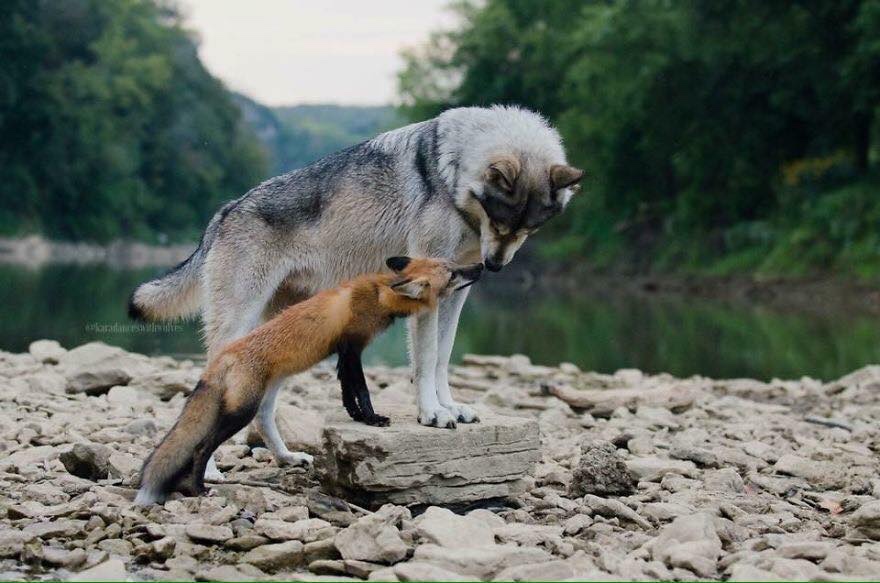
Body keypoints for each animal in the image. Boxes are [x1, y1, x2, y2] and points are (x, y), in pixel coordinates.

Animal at [129, 105, 583, 479]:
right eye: (498, 220)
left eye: (528, 229)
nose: (494, 266)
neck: (451, 172)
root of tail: (224, 211)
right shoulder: (429, 291)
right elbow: (426, 361)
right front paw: (432, 414)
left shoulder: (456, 292)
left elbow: (442, 358)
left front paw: (449, 406)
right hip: (239, 332)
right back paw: (209, 472)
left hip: (283, 343)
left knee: (263, 409)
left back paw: (286, 457)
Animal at [134, 256, 483, 505]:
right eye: (452, 274)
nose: (480, 266)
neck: (380, 294)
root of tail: (224, 357)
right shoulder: (353, 347)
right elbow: (362, 391)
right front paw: (372, 419)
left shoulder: (344, 354)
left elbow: (346, 393)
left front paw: (356, 417)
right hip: (241, 411)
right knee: (202, 446)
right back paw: (198, 487)